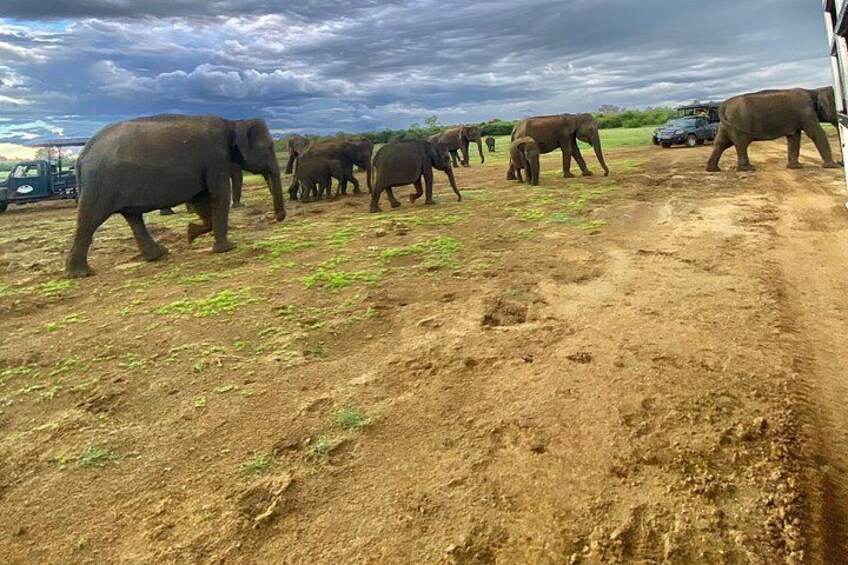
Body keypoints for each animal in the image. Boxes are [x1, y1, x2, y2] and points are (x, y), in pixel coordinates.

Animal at [66, 114, 285, 278]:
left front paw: (190, 233)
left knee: (133, 216)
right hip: (100, 184)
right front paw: (227, 248)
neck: (232, 122)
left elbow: (201, 200)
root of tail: (82, 155)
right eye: (269, 147)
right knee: (90, 220)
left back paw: (159, 254)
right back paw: (80, 273)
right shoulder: (215, 158)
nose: (277, 217)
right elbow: (218, 194)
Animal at [706, 87, 841, 172]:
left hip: (726, 125)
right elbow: (816, 132)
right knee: (741, 144)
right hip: (737, 122)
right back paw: (748, 169)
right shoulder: (806, 112)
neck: (814, 90)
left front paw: (795, 167)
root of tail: (723, 105)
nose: (840, 163)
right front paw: (832, 166)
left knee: (722, 143)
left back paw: (713, 170)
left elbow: (794, 137)